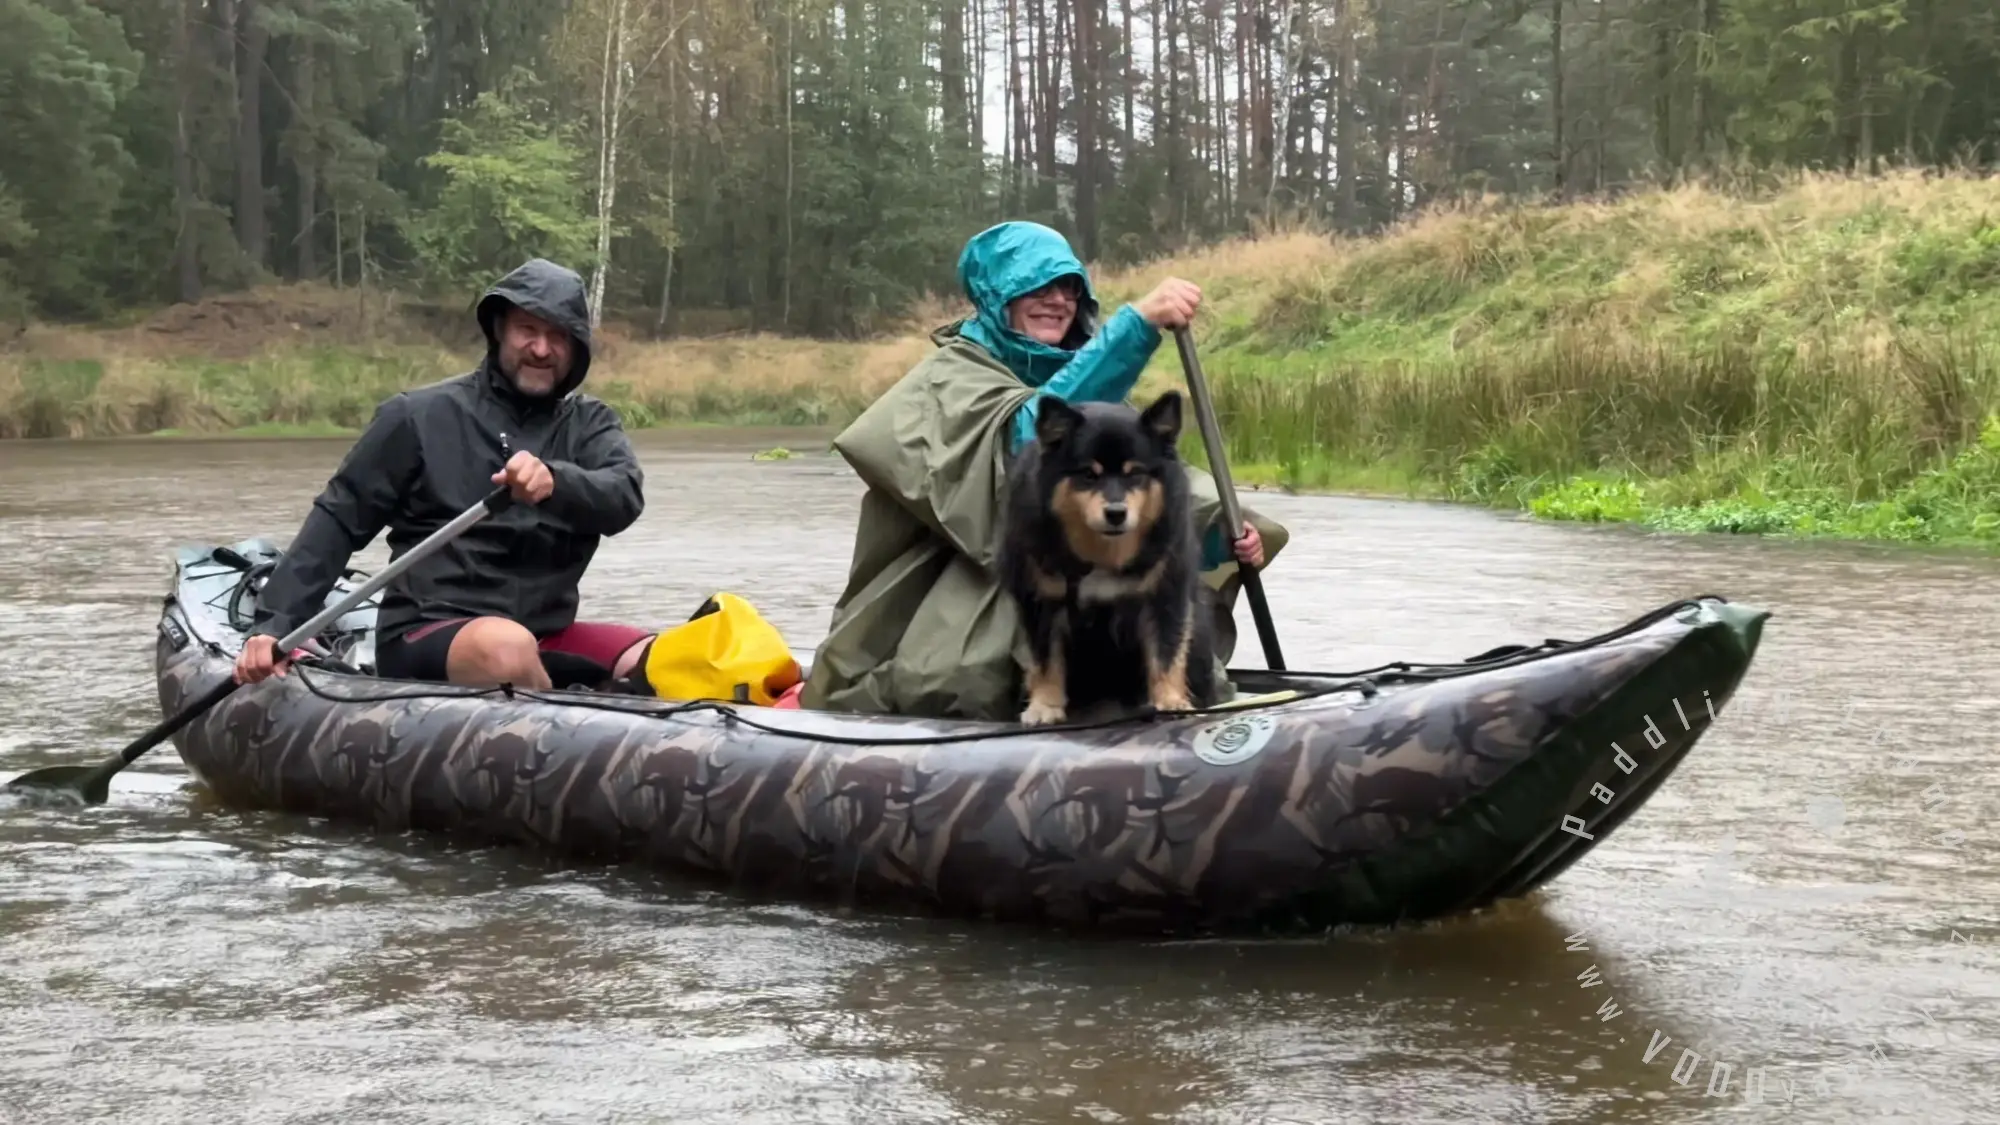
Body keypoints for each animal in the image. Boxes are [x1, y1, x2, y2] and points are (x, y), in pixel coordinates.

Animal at [996, 390, 1224, 720]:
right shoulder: (1041, 601)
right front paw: (1045, 707)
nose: (1116, 513)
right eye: (1089, 475)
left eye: (1135, 473)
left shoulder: (1164, 595)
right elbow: (1046, 660)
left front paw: (1170, 701)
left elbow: (1166, 651)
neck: (1101, 556)